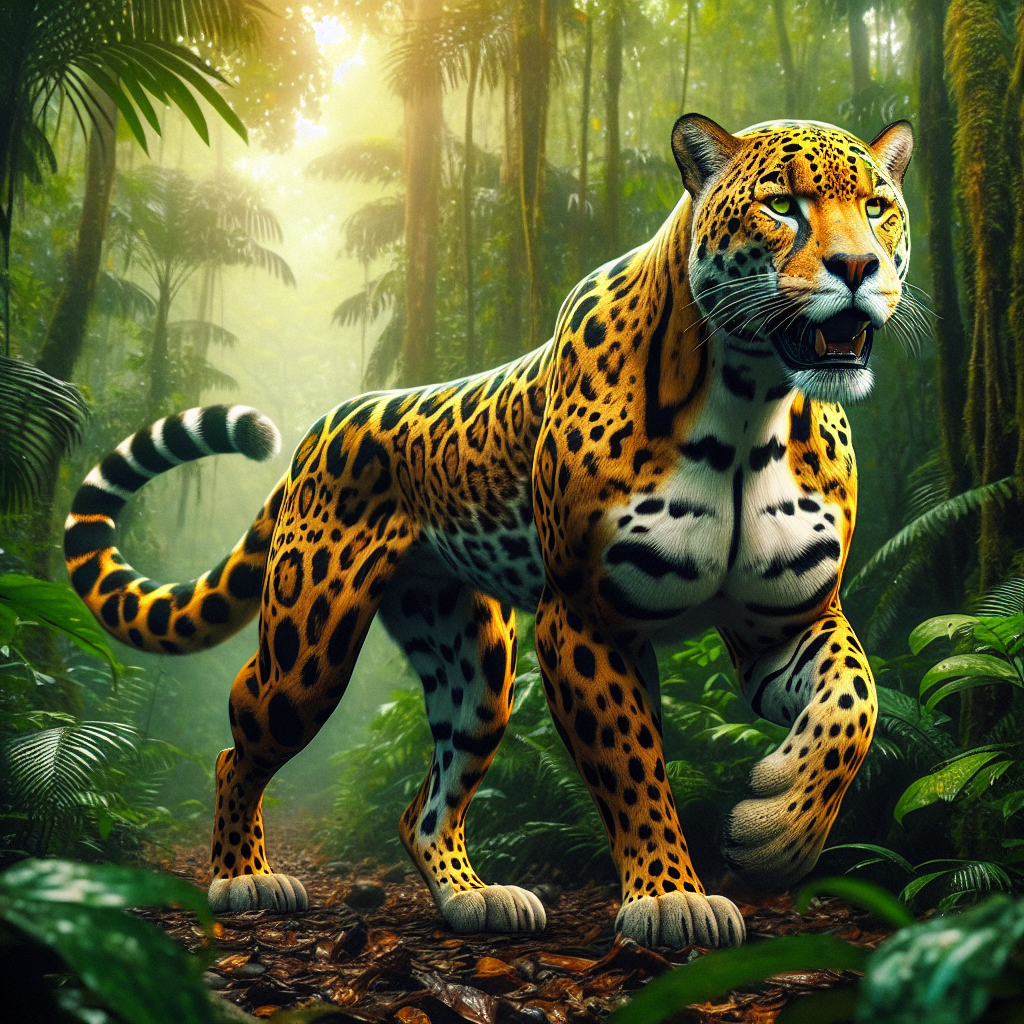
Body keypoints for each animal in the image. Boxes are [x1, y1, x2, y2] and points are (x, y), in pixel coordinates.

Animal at [64, 113, 913, 950]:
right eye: (782, 205)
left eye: (877, 207)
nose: (858, 267)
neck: (750, 404)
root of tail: (322, 430)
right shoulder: (582, 621)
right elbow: (633, 766)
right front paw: (672, 897)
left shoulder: (786, 621)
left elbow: (855, 705)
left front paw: (778, 830)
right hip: (309, 652)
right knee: (235, 749)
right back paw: (243, 879)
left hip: (473, 665)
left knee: (423, 806)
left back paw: (478, 898)